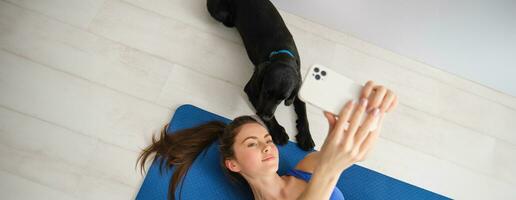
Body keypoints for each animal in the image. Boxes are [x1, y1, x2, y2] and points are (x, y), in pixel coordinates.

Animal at [207, 0, 314, 150]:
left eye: (282, 98)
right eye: (265, 91)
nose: (265, 115)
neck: (282, 54)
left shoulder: (297, 87)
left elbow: (303, 112)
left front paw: (306, 136)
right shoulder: (252, 88)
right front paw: (278, 132)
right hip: (221, 13)